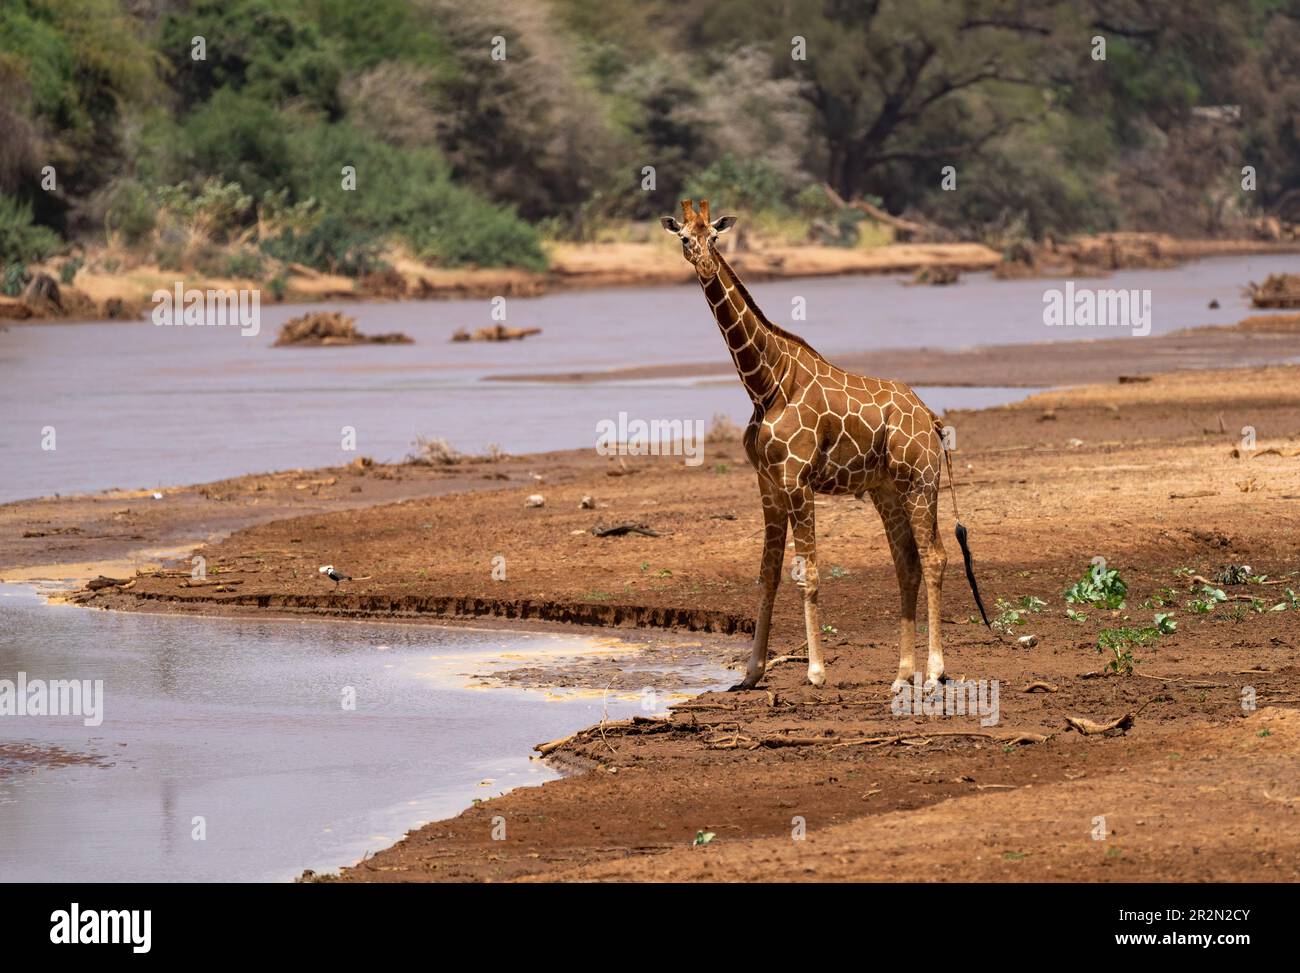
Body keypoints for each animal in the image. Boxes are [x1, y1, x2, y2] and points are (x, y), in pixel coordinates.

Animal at [670, 199, 982, 692]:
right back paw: (902, 674)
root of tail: (931, 418)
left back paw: (934, 671)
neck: (765, 383)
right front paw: (751, 672)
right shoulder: (768, 484)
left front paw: (816, 670)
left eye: (714, 238)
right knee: (907, 564)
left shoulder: (798, 479)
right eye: (685, 237)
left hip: (921, 481)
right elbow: (767, 576)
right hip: (886, 490)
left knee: (935, 557)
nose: (703, 264)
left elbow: (808, 575)